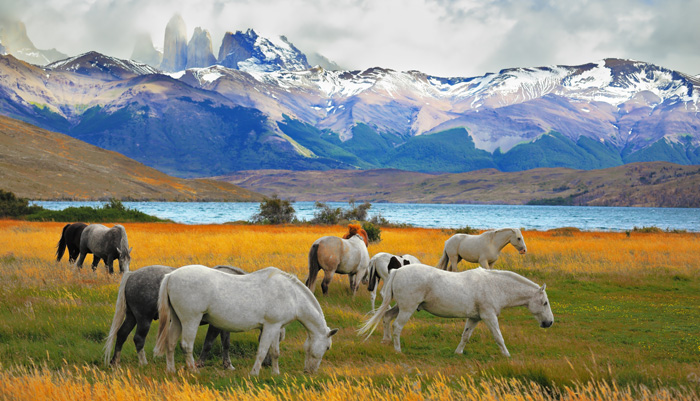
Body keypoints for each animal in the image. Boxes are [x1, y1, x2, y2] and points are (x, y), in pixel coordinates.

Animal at [104, 264, 268, 369]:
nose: (267, 364)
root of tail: (132, 275)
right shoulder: (215, 325)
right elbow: (208, 344)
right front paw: (200, 364)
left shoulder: (226, 324)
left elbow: (226, 344)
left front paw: (228, 365)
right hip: (144, 319)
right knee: (138, 339)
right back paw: (143, 363)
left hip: (132, 316)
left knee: (122, 334)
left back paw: (115, 362)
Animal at [153, 265, 338, 375]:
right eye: (328, 347)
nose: (310, 371)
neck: (291, 294)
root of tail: (171, 275)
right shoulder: (270, 326)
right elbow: (262, 351)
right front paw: (254, 373)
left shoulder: (275, 327)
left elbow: (275, 352)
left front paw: (275, 373)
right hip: (191, 320)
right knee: (186, 345)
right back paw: (193, 370)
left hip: (177, 320)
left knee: (170, 343)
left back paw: (171, 370)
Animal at [359, 264, 553, 356]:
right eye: (544, 303)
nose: (549, 322)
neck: (494, 285)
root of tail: (397, 271)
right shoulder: (489, 316)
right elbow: (498, 337)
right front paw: (506, 354)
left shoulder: (475, 318)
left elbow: (465, 336)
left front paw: (458, 352)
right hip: (407, 308)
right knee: (397, 326)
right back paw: (398, 350)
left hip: (401, 306)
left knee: (386, 317)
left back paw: (386, 341)